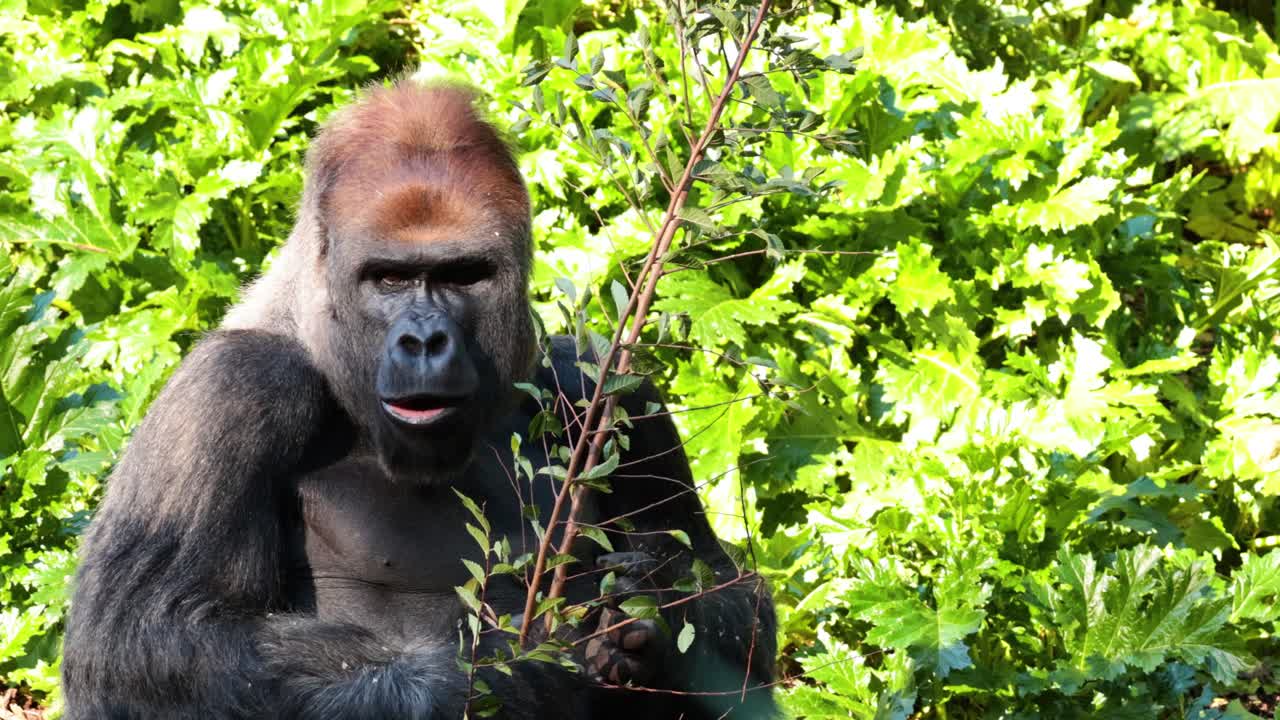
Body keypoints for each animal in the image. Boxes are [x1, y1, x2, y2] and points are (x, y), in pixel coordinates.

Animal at [62, 80, 777, 720]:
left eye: (463, 275)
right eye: (390, 278)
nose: (426, 340)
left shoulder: (608, 388)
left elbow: (729, 592)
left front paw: (654, 609)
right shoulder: (229, 391)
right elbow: (137, 645)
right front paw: (502, 678)